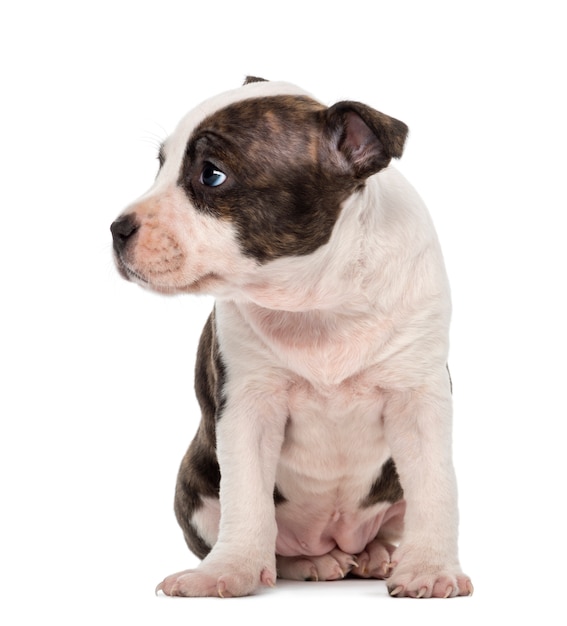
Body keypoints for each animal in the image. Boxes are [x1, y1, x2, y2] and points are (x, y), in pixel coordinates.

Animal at [112, 75, 474, 596]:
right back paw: (309, 563)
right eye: (161, 166)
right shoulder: (249, 405)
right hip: (196, 486)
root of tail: (334, 538)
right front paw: (228, 571)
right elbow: (246, 497)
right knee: (273, 541)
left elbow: (435, 488)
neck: (318, 301)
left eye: (211, 176)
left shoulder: (417, 399)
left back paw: (376, 556)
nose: (116, 229)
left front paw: (429, 569)